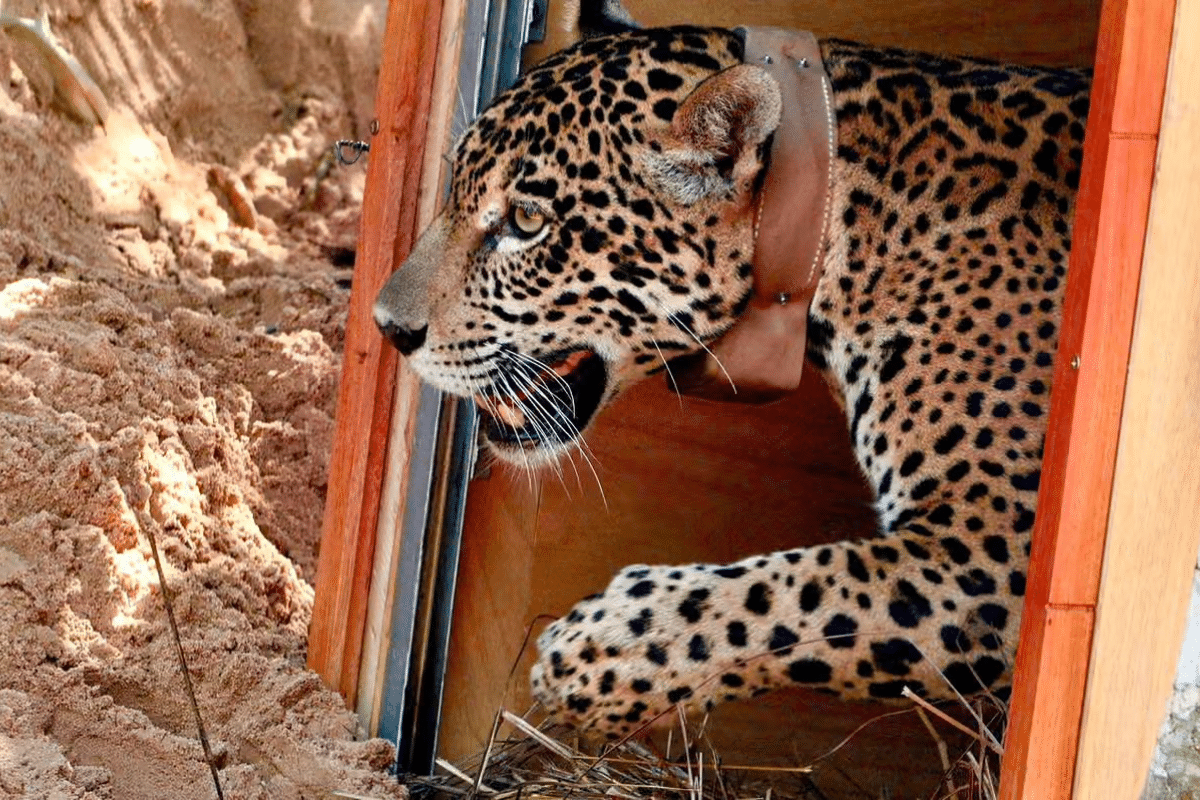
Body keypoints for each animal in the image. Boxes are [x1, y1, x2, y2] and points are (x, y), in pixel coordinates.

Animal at [373, 1, 1088, 739]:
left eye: (525, 220)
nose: (388, 327)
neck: (842, 225)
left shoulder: (994, 550)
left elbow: (802, 591)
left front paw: (599, 653)